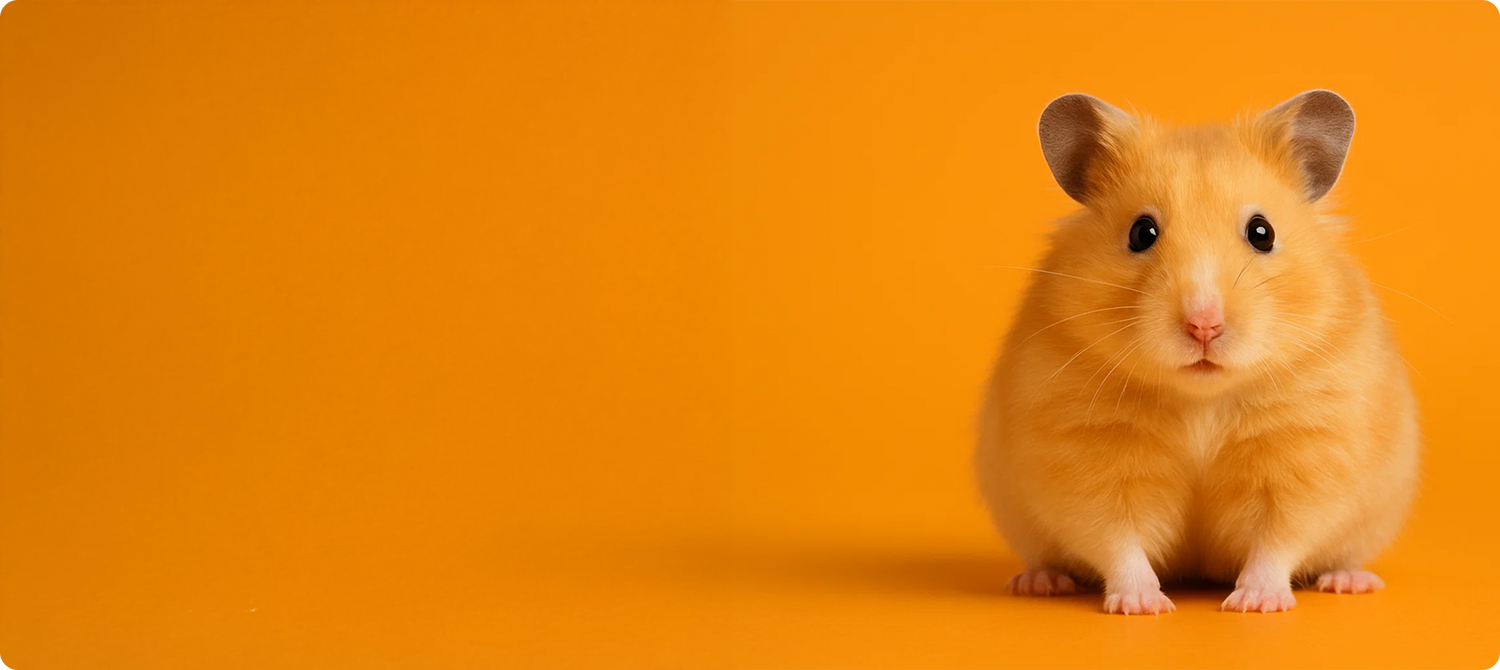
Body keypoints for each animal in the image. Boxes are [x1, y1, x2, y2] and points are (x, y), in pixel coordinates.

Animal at [974, 90, 1420, 614]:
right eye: (1141, 233)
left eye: (1262, 232)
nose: (1203, 324)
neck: (1201, 397)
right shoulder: (1086, 463)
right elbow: (1117, 540)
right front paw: (1142, 605)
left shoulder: (1307, 458)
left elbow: (1279, 539)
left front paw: (1255, 603)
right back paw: (1039, 582)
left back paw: (1350, 581)